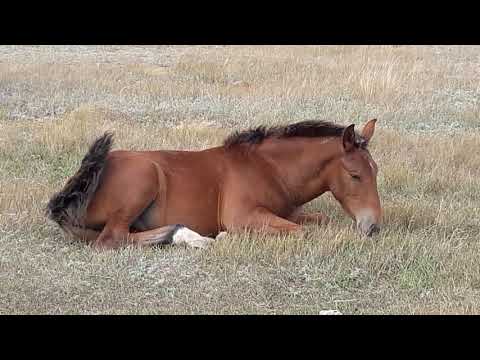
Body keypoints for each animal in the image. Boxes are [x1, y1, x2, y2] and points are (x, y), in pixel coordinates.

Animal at [46, 119, 382, 249]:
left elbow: (319, 220)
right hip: (144, 181)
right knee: (111, 239)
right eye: (355, 175)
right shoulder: (242, 217)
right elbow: (302, 232)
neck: (269, 168)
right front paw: (226, 237)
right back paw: (193, 237)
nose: (373, 227)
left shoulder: (289, 213)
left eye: (375, 171)